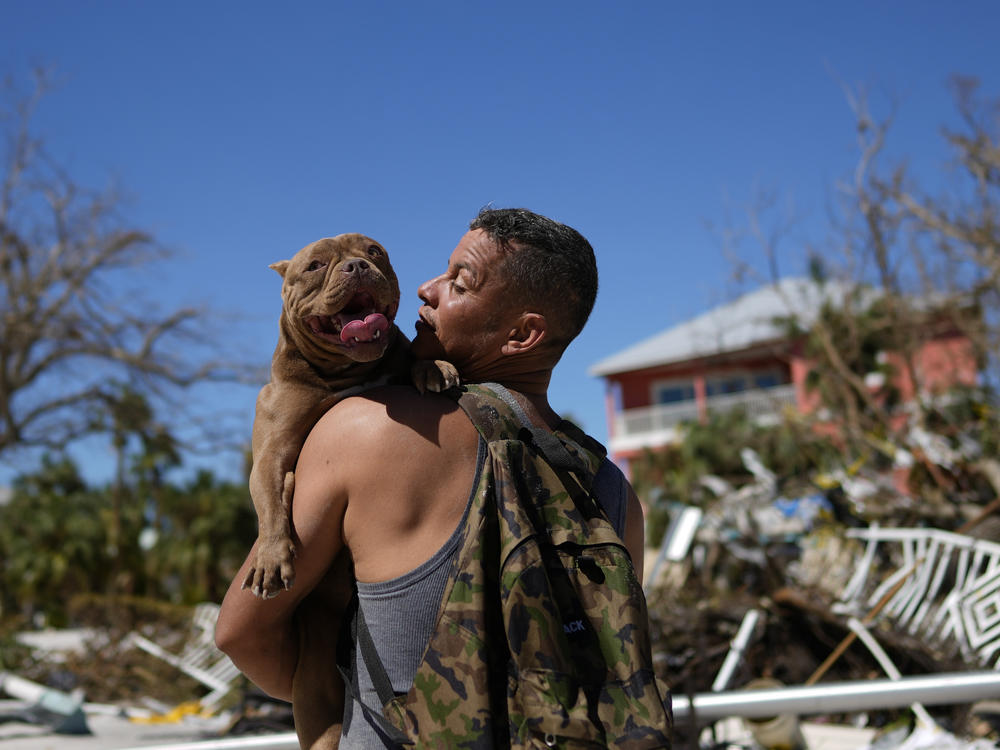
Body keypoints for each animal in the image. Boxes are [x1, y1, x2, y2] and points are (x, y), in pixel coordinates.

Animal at [247, 235, 458, 750]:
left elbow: (413, 357)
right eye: (315, 265)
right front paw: (271, 556)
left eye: (375, 250)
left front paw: (433, 366)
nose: (358, 265)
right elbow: (271, 501)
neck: (346, 373)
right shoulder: (269, 456)